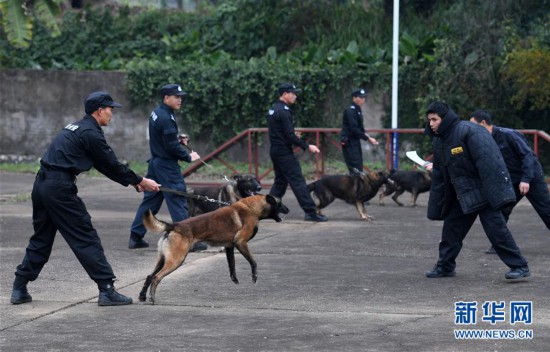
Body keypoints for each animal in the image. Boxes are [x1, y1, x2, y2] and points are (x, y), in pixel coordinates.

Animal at [139, 194, 288, 304]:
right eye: (280, 203)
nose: (288, 210)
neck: (251, 208)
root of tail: (174, 225)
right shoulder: (241, 242)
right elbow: (253, 262)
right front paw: (254, 277)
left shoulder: (229, 247)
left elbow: (232, 265)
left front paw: (234, 279)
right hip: (176, 260)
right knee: (156, 277)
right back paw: (152, 298)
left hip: (163, 259)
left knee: (149, 276)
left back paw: (142, 296)